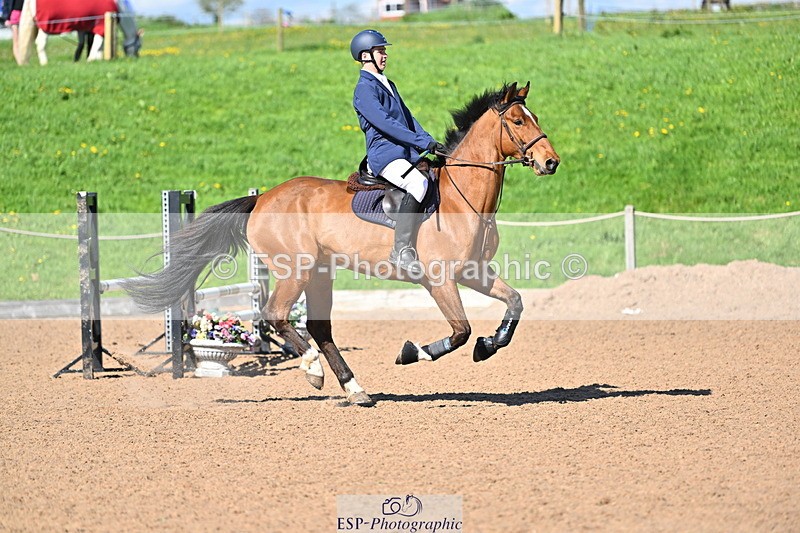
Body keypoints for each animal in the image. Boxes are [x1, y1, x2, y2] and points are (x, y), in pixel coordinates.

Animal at [122, 82, 560, 406]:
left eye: (535, 118)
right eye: (518, 120)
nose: (551, 162)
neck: (462, 198)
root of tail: (262, 199)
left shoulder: (473, 272)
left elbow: (515, 302)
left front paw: (490, 344)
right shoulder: (440, 280)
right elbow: (460, 331)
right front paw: (411, 352)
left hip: (320, 272)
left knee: (318, 326)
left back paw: (355, 389)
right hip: (296, 269)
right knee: (275, 314)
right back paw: (314, 370)